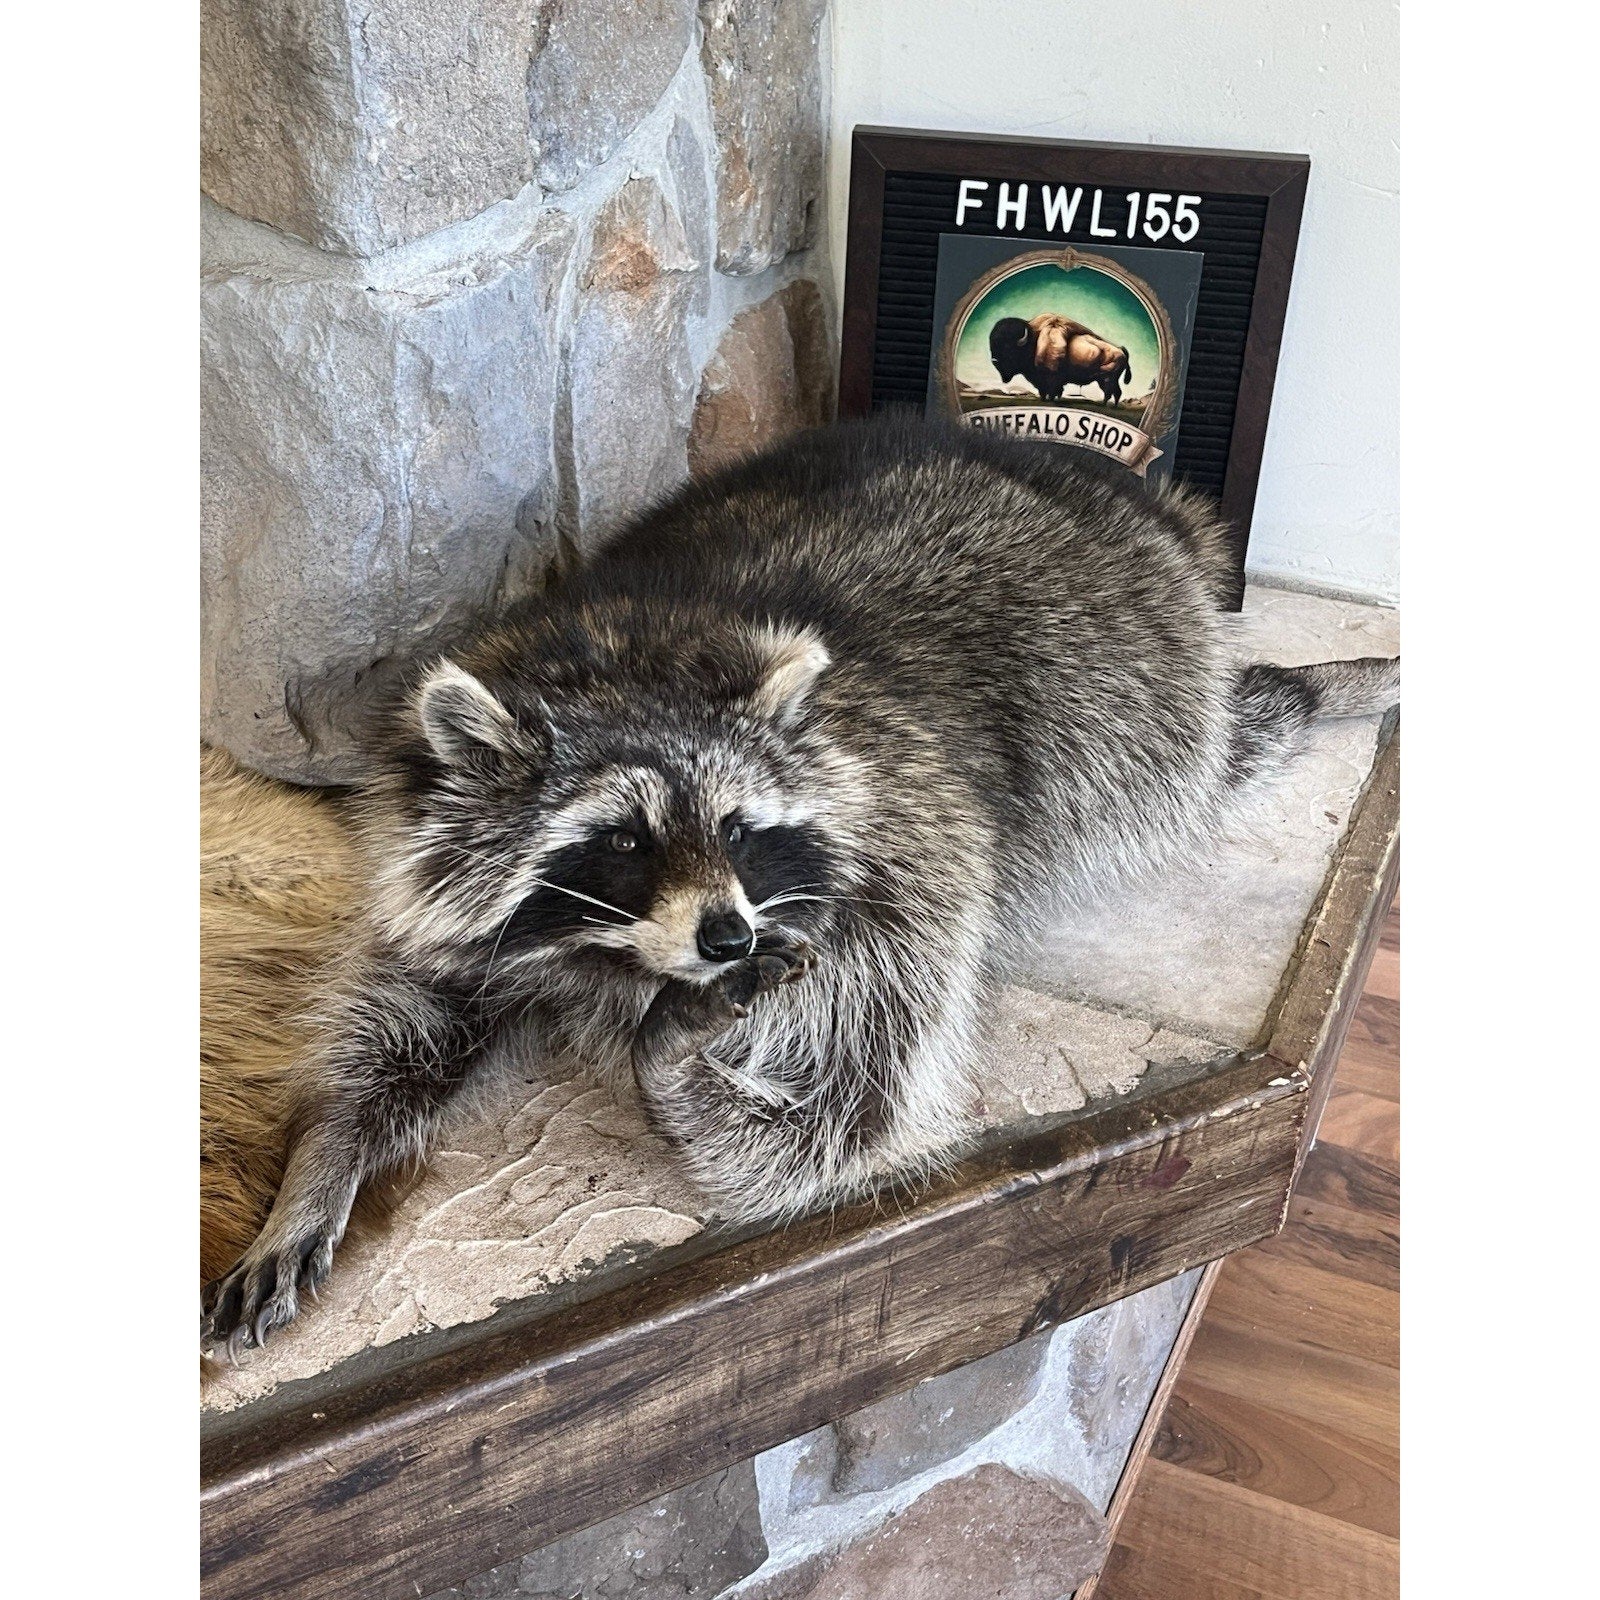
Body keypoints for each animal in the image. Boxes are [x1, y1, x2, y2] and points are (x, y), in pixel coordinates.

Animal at [201, 413, 1398, 1355]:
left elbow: (852, 1109)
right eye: (622, 842)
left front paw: (677, 1079)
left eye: (739, 829)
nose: (726, 938)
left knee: (1212, 745)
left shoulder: (903, 868)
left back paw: (1312, 685)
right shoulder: (434, 871)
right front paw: (321, 1158)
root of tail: (1090, 475)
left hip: (1128, 689)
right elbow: (409, 1014)